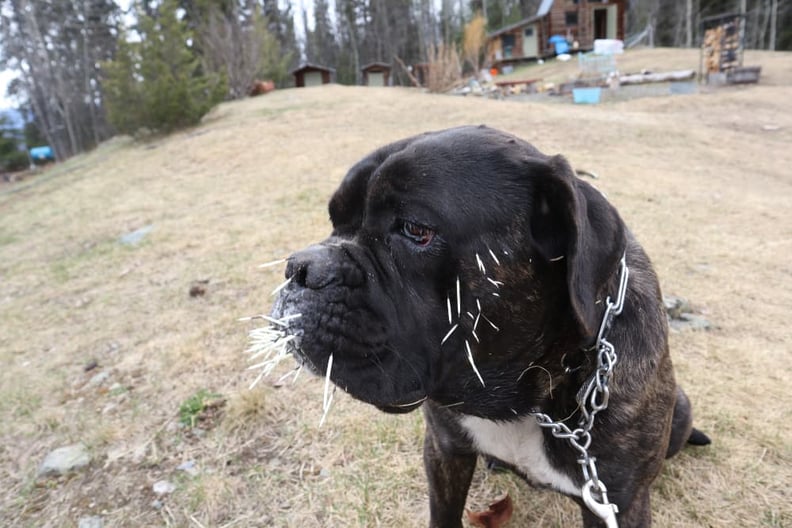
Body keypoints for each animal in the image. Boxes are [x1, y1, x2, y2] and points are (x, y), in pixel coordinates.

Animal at [270, 126, 708, 524]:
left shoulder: (617, 502)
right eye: (333, 219)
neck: (525, 401)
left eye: (415, 230)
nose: (302, 267)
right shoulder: (444, 451)